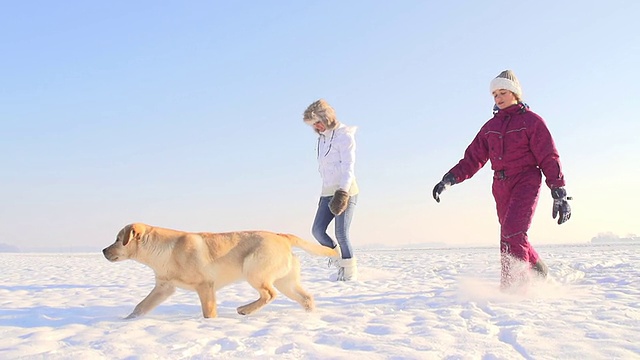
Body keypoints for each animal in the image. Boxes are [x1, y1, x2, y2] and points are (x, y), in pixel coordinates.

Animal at [102, 224, 338, 320]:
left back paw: (244, 310)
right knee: (306, 297)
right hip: (286, 281)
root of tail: (283, 236)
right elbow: (141, 306)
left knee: (269, 294)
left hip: (253, 270)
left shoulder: (205, 286)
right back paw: (310, 315)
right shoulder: (164, 287)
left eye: (118, 239)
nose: (103, 250)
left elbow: (208, 312)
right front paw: (127, 320)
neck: (164, 251)